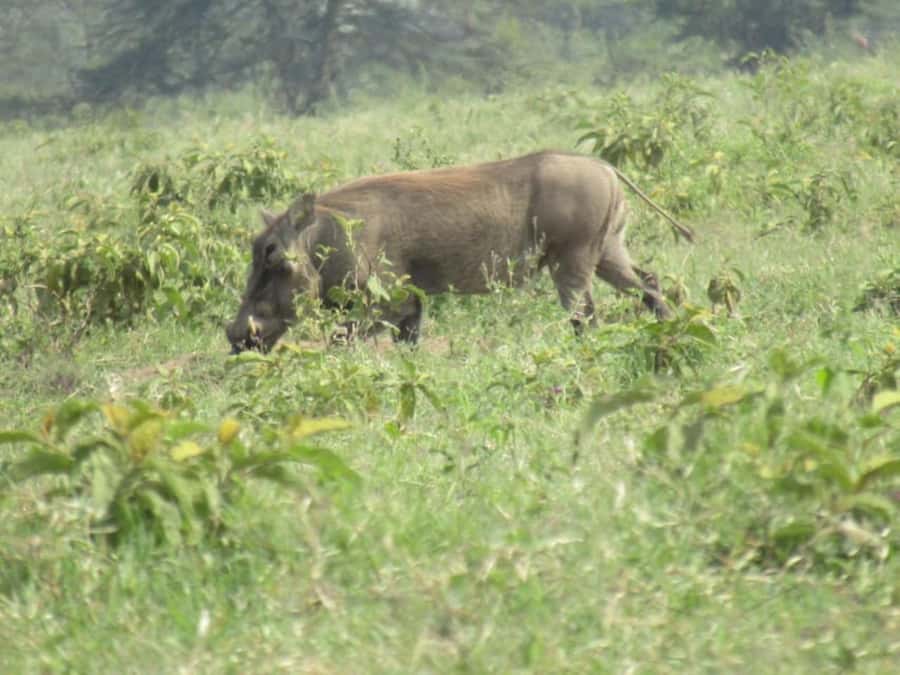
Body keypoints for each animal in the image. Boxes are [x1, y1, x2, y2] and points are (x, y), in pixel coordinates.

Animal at [226, 150, 694, 353]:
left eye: (272, 255)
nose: (235, 337)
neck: (327, 239)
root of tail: (606, 167)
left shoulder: (386, 300)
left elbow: (341, 340)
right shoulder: (410, 304)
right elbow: (408, 344)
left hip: (573, 258)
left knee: (585, 314)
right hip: (608, 250)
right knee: (649, 285)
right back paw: (669, 332)